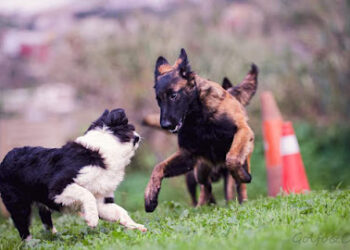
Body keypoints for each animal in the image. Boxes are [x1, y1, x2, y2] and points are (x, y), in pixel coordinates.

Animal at [0, 109, 146, 240]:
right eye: (131, 127)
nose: (139, 137)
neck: (101, 152)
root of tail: (5, 159)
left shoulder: (102, 199)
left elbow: (119, 211)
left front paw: (135, 226)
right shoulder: (58, 187)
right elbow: (86, 194)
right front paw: (92, 219)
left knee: (45, 218)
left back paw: (54, 235)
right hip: (18, 203)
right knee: (23, 226)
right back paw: (31, 243)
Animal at [145, 49, 258, 213]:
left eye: (173, 96)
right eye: (158, 99)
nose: (165, 125)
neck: (198, 117)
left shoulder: (242, 131)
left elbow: (231, 159)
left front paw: (243, 176)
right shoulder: (188, 155)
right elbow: (158, 167)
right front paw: (150, 196)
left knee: (236, 184)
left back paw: (241, 198)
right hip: (200, 169)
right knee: (206, 186)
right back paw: (201, 208)